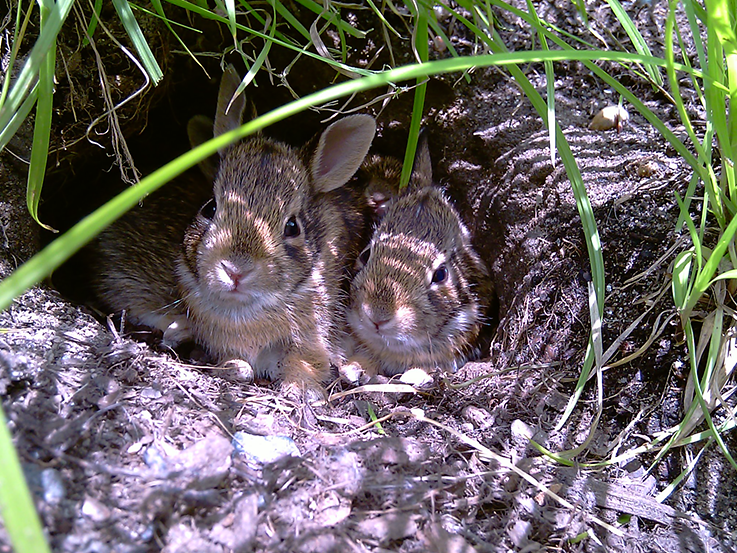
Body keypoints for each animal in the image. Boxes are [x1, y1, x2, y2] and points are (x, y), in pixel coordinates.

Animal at [92, 67, 376, 394]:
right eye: (210, 208)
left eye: (293, 226)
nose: (235, 270)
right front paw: (235, 366)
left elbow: (303, 363)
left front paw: (302, 388)